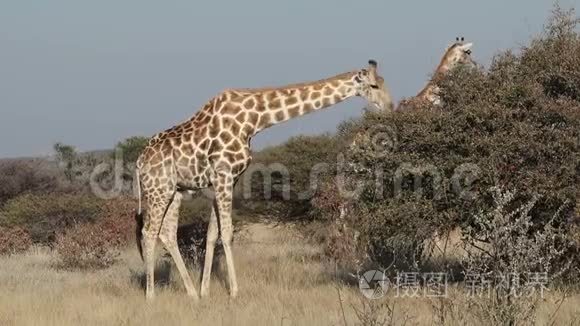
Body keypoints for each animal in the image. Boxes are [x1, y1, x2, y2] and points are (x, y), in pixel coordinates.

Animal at [134, 58, 392, 298]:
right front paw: (234, 291)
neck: (255, 120)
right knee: (148, 232)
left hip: (174, 191)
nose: (389, 106)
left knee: (167, 233)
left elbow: (212, 234)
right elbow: (227, 233)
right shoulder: (224, 174)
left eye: (383, 82)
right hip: (158, 189)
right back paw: (150, 295)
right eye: (373, 85)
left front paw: (205, 291)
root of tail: (139, 163)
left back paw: (190, 293)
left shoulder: (227, 178)